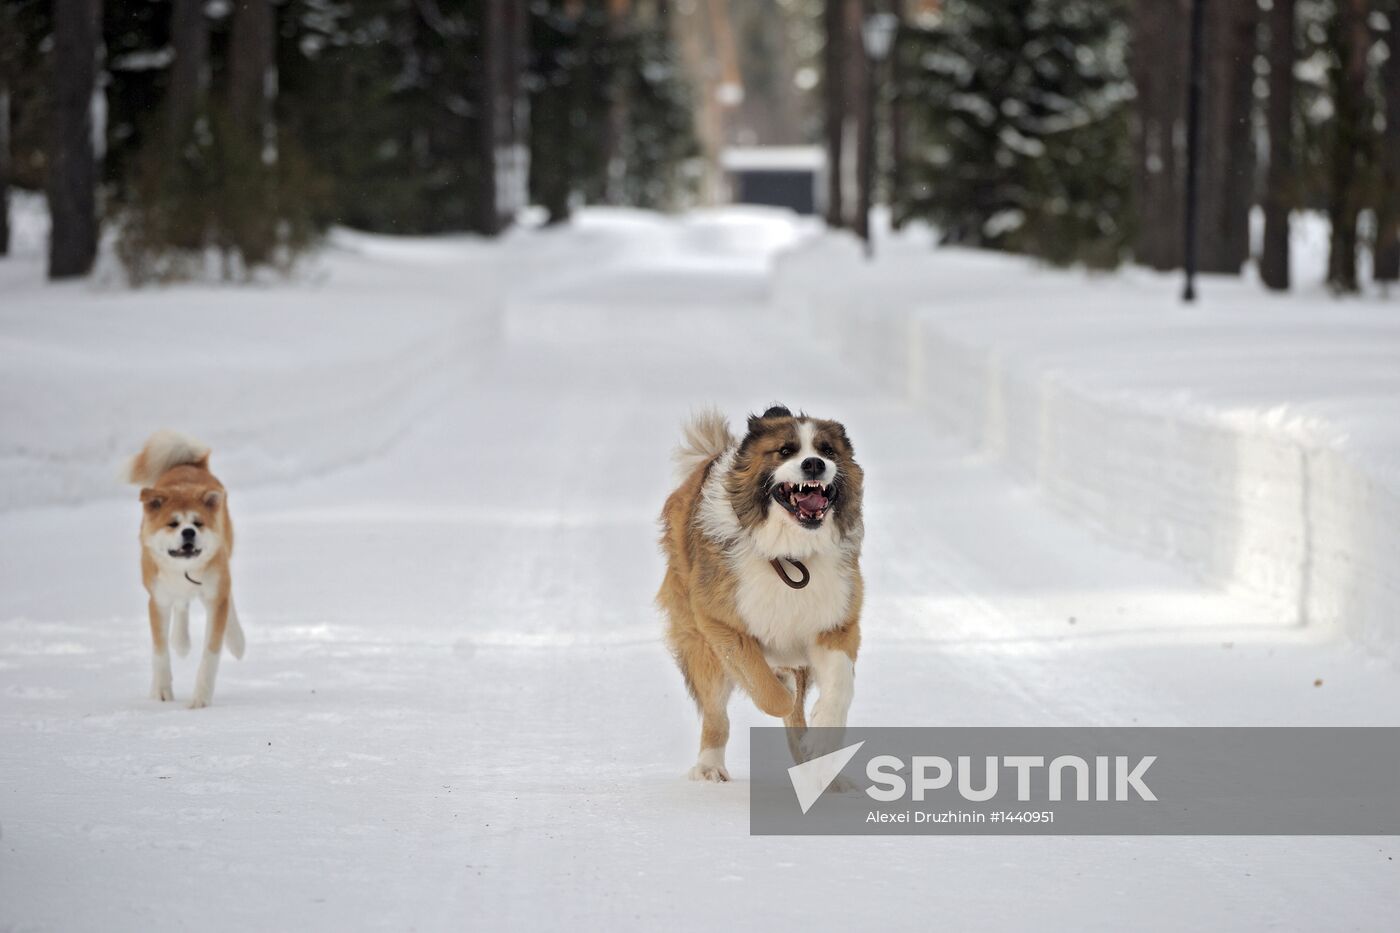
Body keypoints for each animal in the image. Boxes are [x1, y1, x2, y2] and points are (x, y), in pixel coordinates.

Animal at [127, 428, 245, 706]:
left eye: (198, 523)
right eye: (173, 524)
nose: (189, 532)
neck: (184, 570)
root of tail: (189, 464)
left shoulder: (215, 596)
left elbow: (210, 654)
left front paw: (201, 698)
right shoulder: (157, 600)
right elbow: (159, 651)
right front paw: (161, 690)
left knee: (226, 600)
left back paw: (236, 641)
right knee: (181, 605)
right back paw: (180, 643)